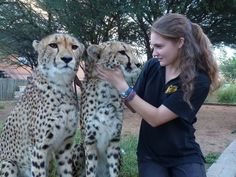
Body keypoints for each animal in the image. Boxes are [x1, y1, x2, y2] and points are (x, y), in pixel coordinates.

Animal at [0, 33, 84, 177]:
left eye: (74, 47)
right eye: (53, 45)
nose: (67, 59)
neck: (61, 86)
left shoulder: (65, 146)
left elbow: (66, 171)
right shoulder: (39, 148)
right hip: (8, 164)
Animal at [72, 41, 141, 177]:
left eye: (132, 51)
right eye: (122, 52)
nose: (138, 64)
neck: (108, 90)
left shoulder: (114, 141)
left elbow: (114, 170)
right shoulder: (90, 142)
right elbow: (90, 171)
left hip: (119, 152)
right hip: (79, 147)